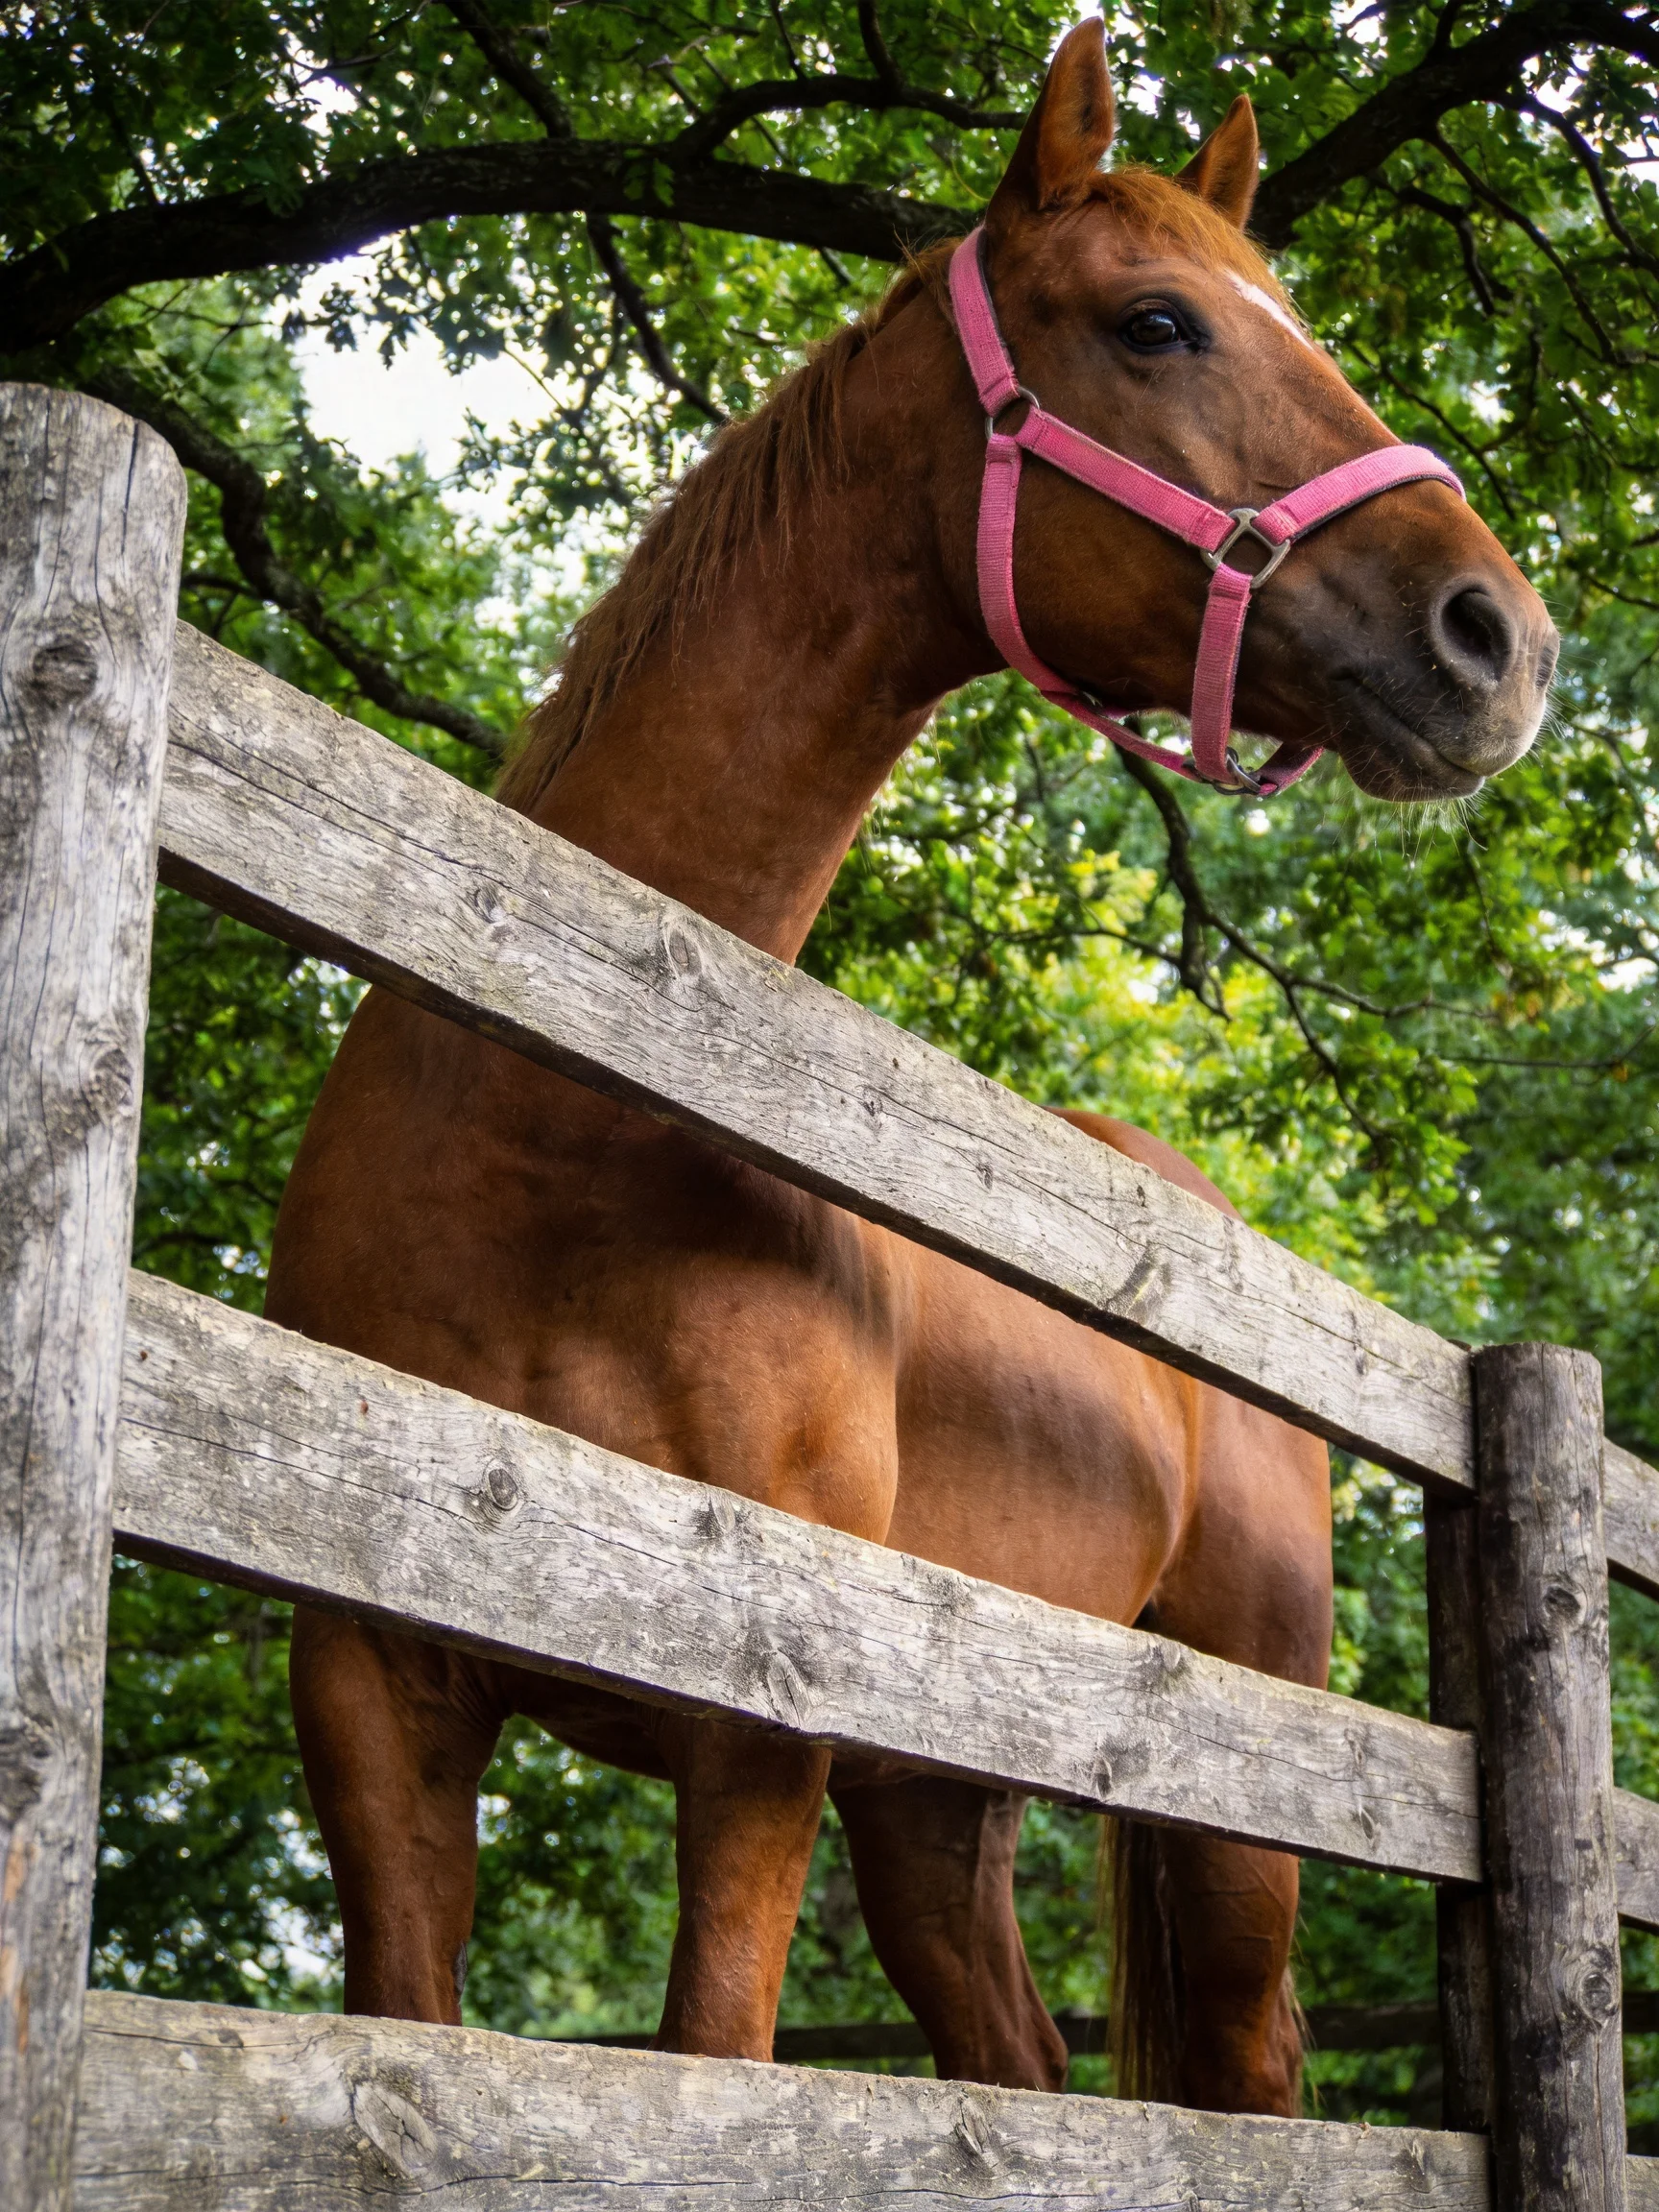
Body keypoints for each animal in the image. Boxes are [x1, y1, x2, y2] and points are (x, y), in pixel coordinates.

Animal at [265, 19, 1556, 2117]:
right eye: (1157, 322)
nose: (1499, 640)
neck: (556, 1122)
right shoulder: (378, 1694)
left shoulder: (757, 1737)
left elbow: (720, 2053)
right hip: (934, 1800)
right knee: (1016, 2072)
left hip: (1236, 1785)